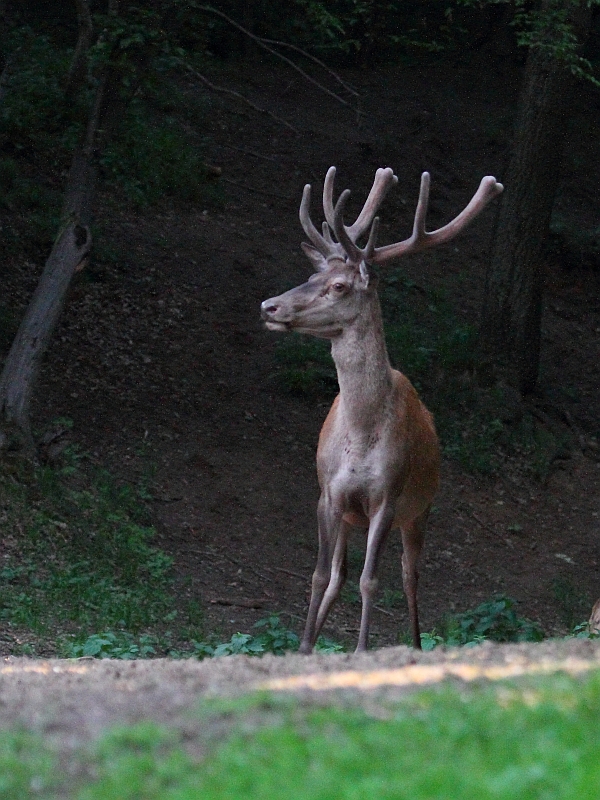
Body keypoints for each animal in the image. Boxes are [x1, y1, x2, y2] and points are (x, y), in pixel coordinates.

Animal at [261, 166, 503, 652]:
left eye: (338, 287)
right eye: (309, 276)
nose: (268, 306)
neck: (361, 434)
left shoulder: (387, 497)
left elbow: (371, 581)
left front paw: (360, 649)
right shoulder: (328, 493)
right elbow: (319, 576)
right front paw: (304, 648)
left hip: (421, 509)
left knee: (410, 576)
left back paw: (415, 645)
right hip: (351, 515)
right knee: (339, 575)